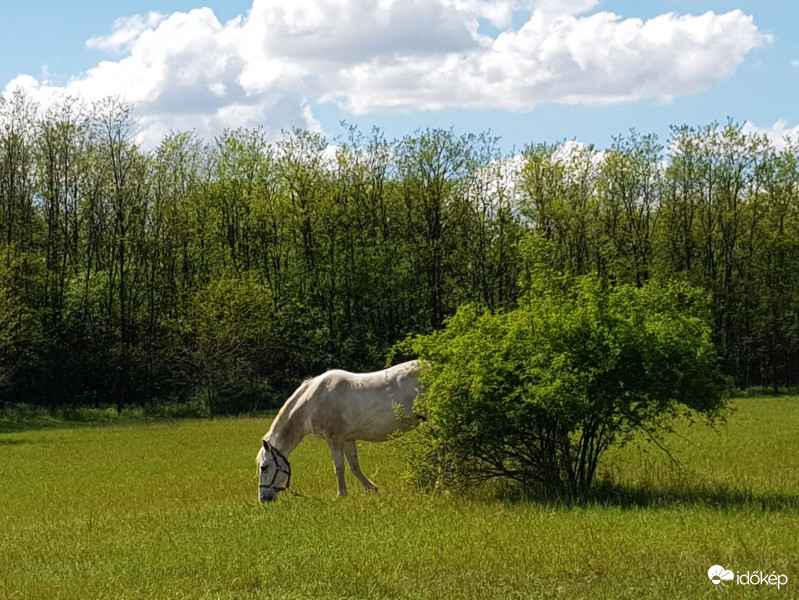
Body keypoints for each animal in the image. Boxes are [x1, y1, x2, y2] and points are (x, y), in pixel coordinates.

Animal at [260, 360, 428, 502]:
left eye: (264, 467)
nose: (263, 499)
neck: (312, 402)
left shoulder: (334, 439)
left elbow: (339, 468)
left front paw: (341, 495)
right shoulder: (348, 439)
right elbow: (354, 467)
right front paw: (371, 488)